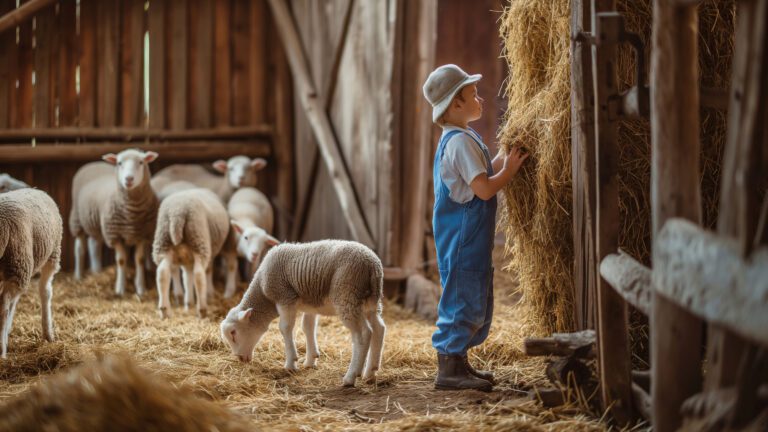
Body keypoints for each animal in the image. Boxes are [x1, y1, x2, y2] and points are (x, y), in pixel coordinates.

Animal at [0, 188, 61, 358]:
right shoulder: (51, 257)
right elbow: (45, 292)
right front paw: (48, 334)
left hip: (16, 265)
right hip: (20, 260)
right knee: (4, 305)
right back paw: (2, 351)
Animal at [69, 150, 159, 296]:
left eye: (141, 162)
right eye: (119, 163)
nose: (129, 179)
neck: (132, 214)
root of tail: (94, 163)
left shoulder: (142, 234)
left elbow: (139, 260)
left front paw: (141, 288)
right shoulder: (115, 235)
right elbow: (121, 260)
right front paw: (120, 289)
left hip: (97, 224)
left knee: (94, 244)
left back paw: (96, 271)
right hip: (77, 218)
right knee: (79, 247)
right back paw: (78, 275)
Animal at [152, 186, 230, 318]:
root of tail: (177, 213)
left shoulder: (186, 260)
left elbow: (186, 278)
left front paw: (188, 304)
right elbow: (205, 272)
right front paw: (207, 295)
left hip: (163, 243)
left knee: (162, 273)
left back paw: (165, 310)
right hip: (199, 239)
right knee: (199, 275)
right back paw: (202, 309)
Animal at [219, 240, 388, 388]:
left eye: (233, 333)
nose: (240, 358)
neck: (263, 291)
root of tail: (373, 264)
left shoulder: (284, 297)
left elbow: (285, 328)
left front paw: (291, 363)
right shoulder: (310, 305)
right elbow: (307, 327)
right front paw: (310, 360)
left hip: (347, 294)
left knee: (363, 334)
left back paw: (351, 376)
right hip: (369, 303)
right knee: (379, 329)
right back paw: (370, 372)